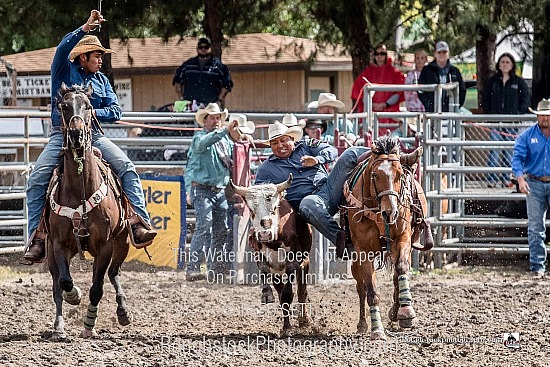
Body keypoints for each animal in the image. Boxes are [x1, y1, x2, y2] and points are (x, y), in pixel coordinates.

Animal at [45, 83, 132, 340]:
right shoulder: (58, 244)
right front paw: (74, 296)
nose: (76, 135)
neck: (80, 190)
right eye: (64, 106)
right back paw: (59, 328)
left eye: (88, 106)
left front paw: (89, 324)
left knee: (114, 272)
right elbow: (64, 282)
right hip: (50, 249)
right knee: (57, 285)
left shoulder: (105, 246)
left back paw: (123, 312)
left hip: (123, 241)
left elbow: (97, 288)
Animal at [344, 136, 432, 342]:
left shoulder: (403, 239)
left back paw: (396, 310)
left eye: (399, 175)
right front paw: (377, 329)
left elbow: (401, 269)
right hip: (355, 261)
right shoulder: (363, 252)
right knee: (360, 287)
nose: (390, 212)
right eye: (375, 175)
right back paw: (363, 324)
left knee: (396, 275)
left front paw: (406, 312)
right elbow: (371, 291)